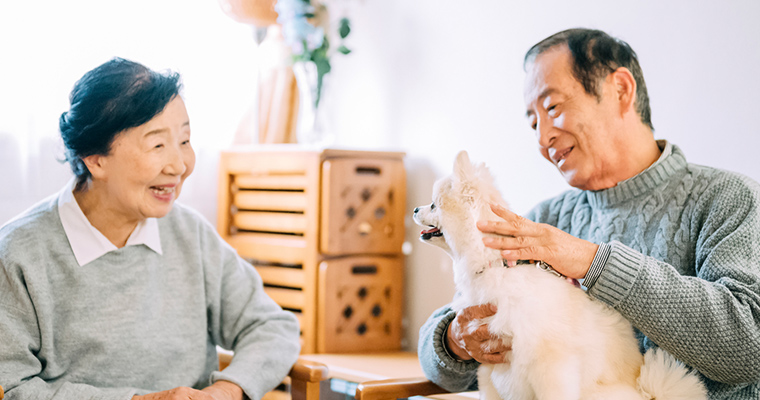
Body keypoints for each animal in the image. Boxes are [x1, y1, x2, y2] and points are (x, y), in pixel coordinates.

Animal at [416, 152, 708, 398]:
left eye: (433, 205)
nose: (416, 210)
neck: (497, 266)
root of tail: (649, 393)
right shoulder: (488, 364)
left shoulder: (551, 364)